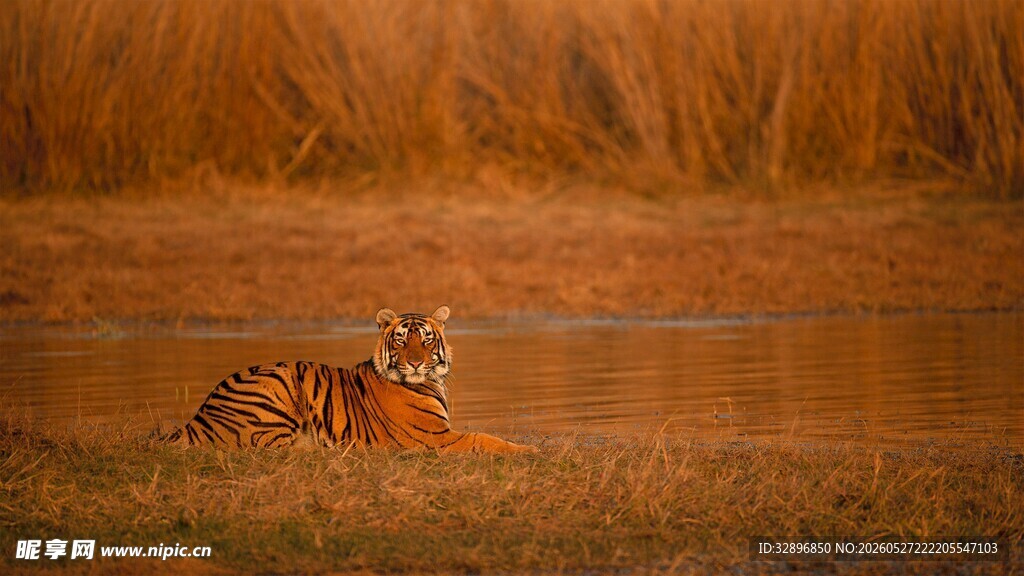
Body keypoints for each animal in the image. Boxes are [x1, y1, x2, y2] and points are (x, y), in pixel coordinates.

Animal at [166, 306, 537, 454]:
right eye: (401, 340)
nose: (416, 362)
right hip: (279, 383)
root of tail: (198, 416)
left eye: (427, 339)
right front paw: (530, 450)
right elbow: (484, 438)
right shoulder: (436, 438)